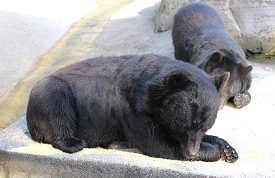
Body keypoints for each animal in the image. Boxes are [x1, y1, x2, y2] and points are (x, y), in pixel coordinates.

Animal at [26, 54, 239, 163]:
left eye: (205, 126)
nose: (192, 153)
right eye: (185, 125)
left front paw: (227, 149)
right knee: (56, 105)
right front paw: (212, 151)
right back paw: (74, 142)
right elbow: (157, 142)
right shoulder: (133, 108)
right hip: (50, 93)